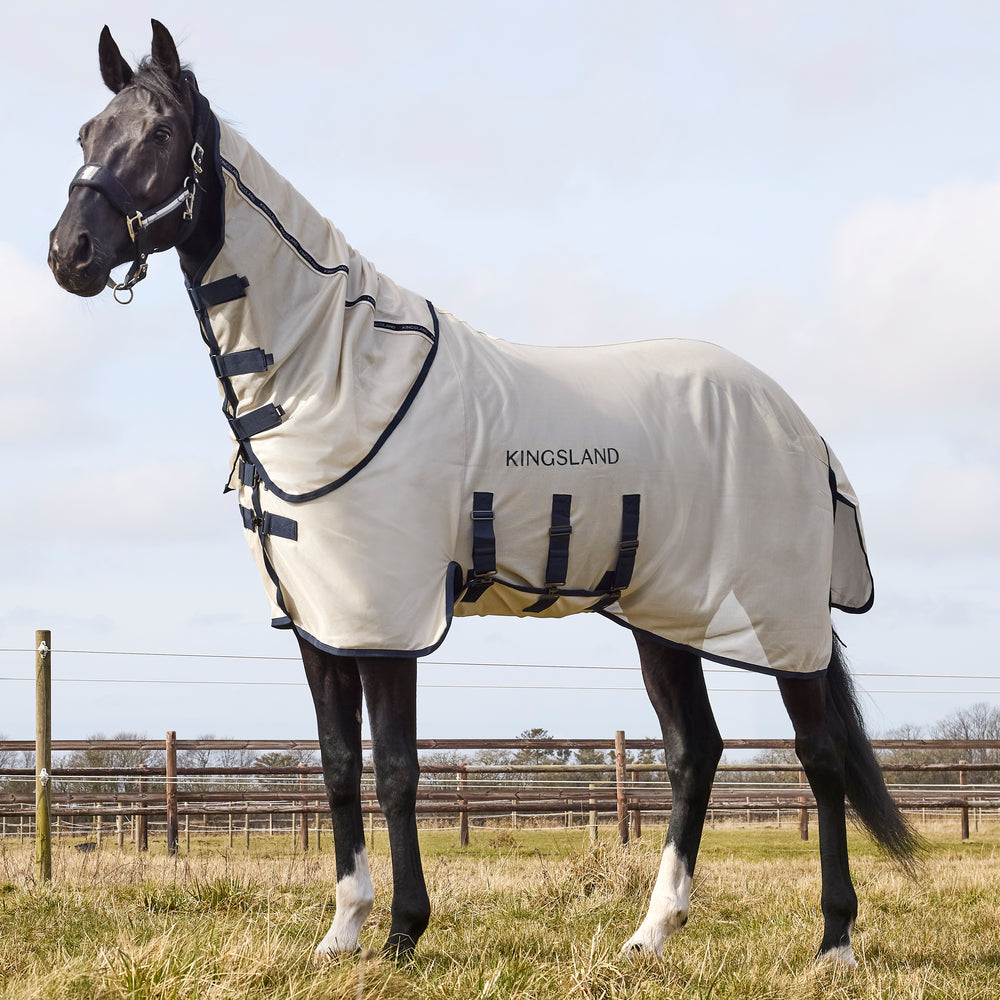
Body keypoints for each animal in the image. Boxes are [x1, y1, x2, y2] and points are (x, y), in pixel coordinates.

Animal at [48, 20, 920, 966]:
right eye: (87, 133)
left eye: (162, 133)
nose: (69, 254)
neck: (334, 370)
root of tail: (799, 425)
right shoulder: (322, 622)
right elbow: (338, 766)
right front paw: (342, 929)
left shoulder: (388, 618)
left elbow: (397, 770)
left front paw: (402, 931)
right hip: (668, 613)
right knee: (696, 751)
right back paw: (652, 932)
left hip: (781, 616)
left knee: (819, 754)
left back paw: (834, 939)